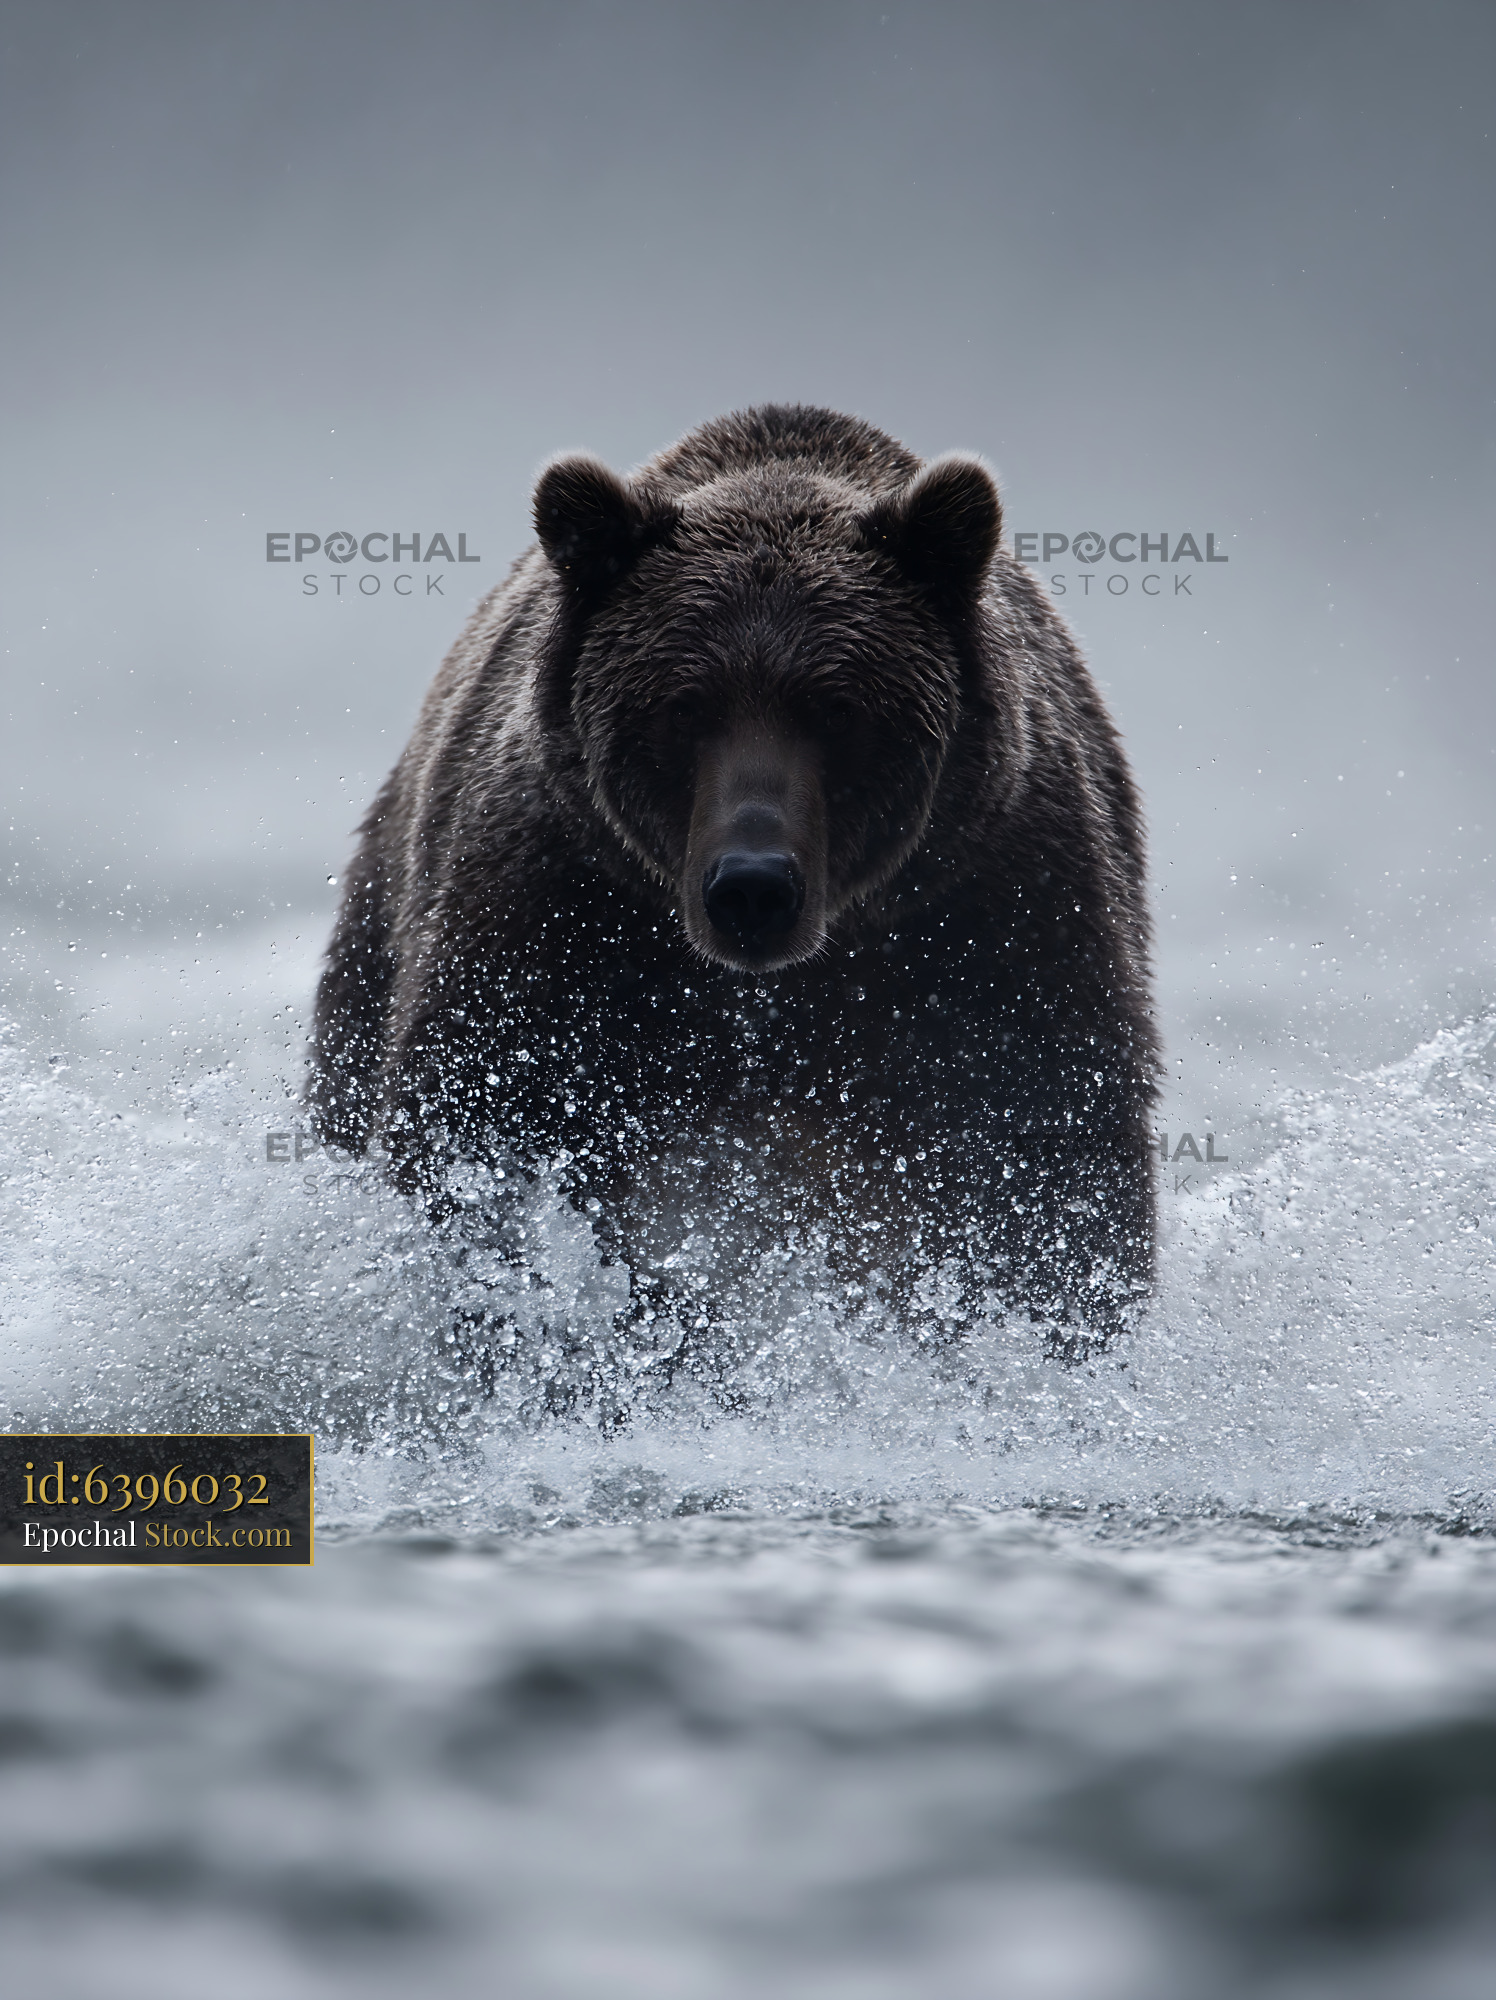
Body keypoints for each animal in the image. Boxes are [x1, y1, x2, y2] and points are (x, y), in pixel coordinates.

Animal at [307, 405, 1159, 1405]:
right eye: (685, 706)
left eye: (838, 708)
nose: (752, 884)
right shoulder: (556, 917)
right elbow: (485, 1133)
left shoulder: (994, 923)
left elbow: (1051, 1170)